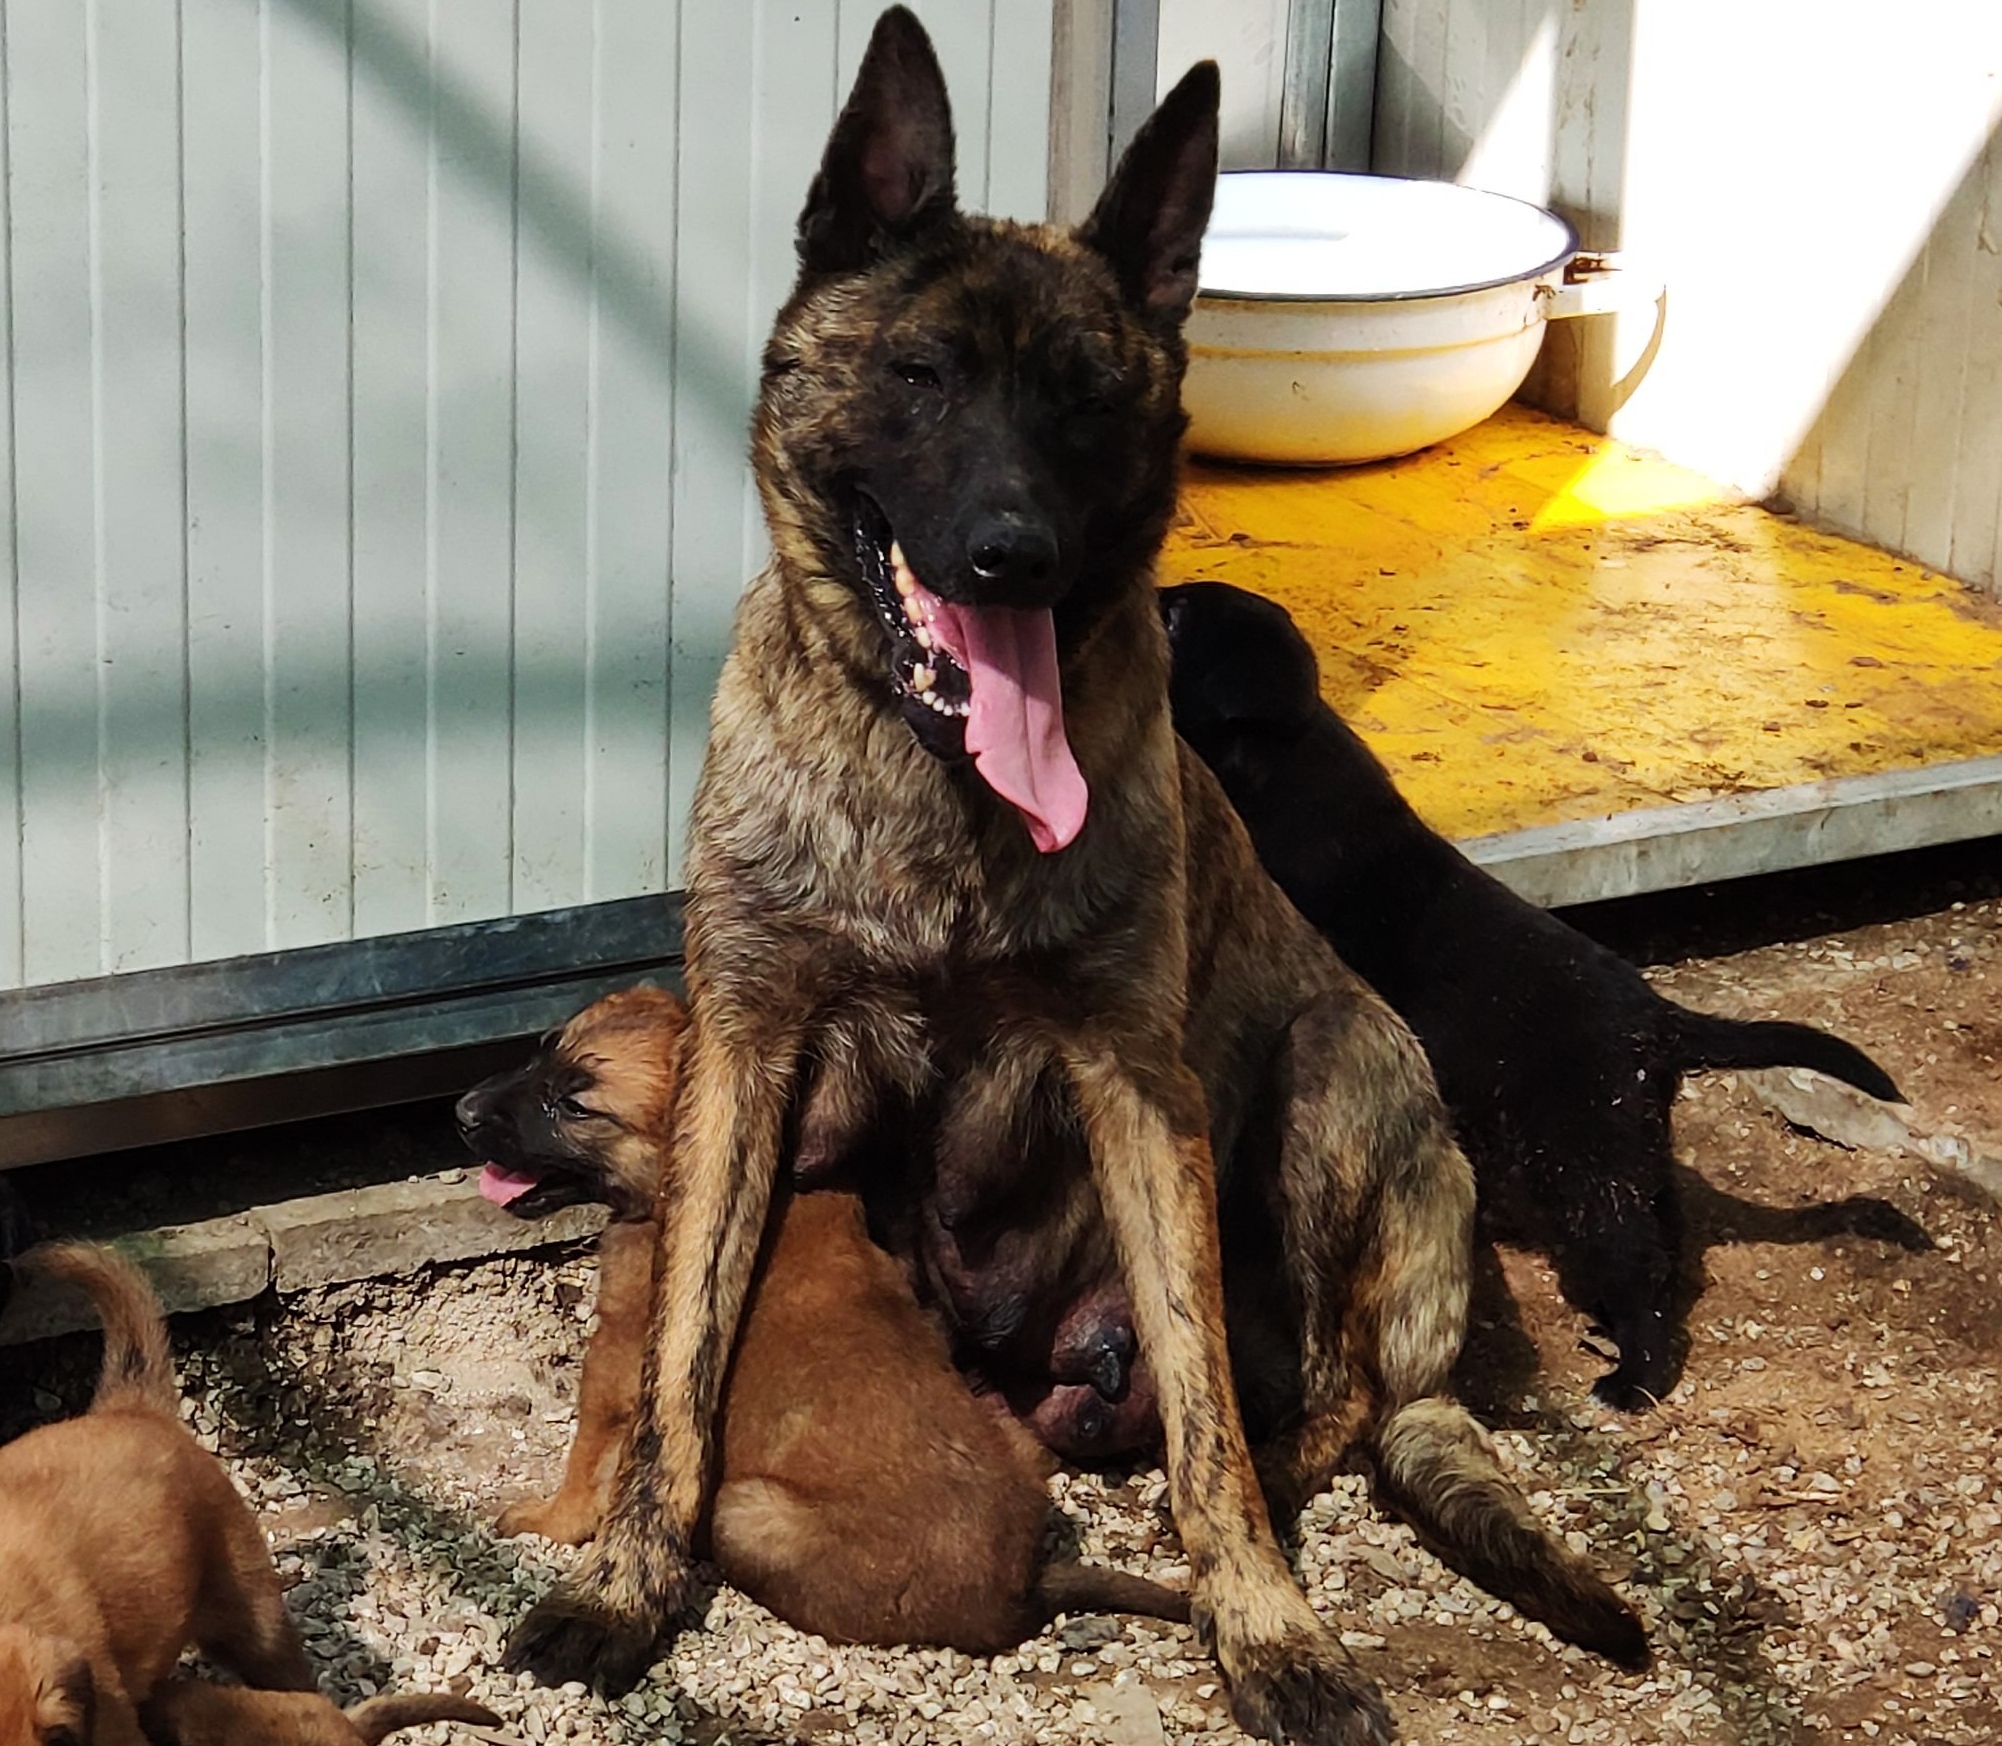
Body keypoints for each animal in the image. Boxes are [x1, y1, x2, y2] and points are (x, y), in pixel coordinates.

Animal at [457, 984, 1189, 1650]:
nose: (462, 1112)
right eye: (543, 1051)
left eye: (575, 1106)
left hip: (746, 1509)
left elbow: (584, 1467)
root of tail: (1023, 1592)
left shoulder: (616, 1369)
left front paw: (547, 1519)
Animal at [1160, 579, 1907, 1409]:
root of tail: (1659, 1020)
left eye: (1176, 618)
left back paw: (1633, 1376)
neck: (1284, 756)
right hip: (1629, 1152)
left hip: (1583, 1160)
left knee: (1638, 1265)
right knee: (1665, 1246)